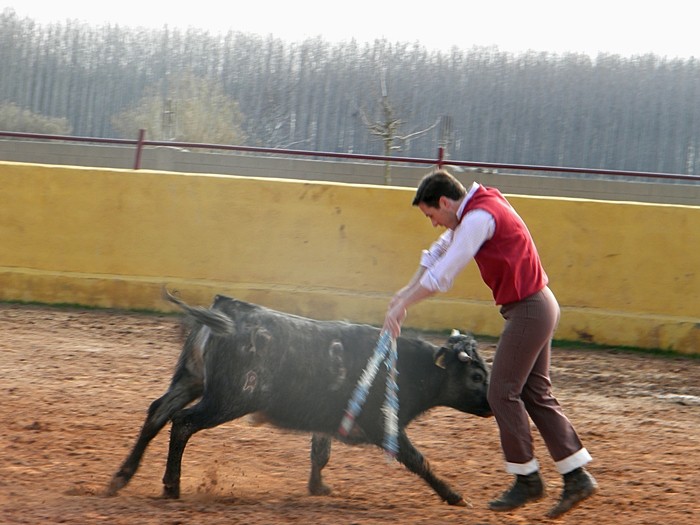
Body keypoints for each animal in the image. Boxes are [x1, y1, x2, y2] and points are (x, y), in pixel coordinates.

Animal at [109, 290, 492, 504]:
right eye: (476, 376)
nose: (493, 405)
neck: (406, 367)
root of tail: (229, 311)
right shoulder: (385, 424)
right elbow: (417, 460)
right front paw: (454, 496)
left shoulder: (329, 420)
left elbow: (320, 453)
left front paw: (318, 487)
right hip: (226, 401)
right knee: (182, 423)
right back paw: (171, 486)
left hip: (191, 381)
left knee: (158, 413)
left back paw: (121, 477)